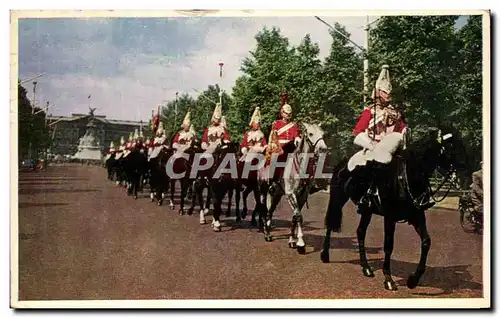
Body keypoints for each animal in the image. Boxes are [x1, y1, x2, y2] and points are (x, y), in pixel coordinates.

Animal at [258, 122, 328, 251]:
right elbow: (298, 216)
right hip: (263, 191)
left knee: (270, 211)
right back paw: (267, 234)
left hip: (277, 194)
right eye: (310, 133)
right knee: (263, 210)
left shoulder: (302, 196)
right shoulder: (291, 194)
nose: (323, 149)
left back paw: (268, 231)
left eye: (323, 134)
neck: (300, 168)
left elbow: (295, 217)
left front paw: (292, 241)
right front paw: (300, 243)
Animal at [320, 125, 468, 290]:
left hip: (367, 210)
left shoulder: (417, 217)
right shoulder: (389, 218)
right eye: (451, 146)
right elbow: (388, 246)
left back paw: (366, 268)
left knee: (360, 232)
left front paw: (413, 280)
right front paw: (388, 279)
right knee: (330, 223)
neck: (406, 177)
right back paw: (325, 255)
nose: (465, 175)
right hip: (338, 199)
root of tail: (343, 163)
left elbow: (426, 242)